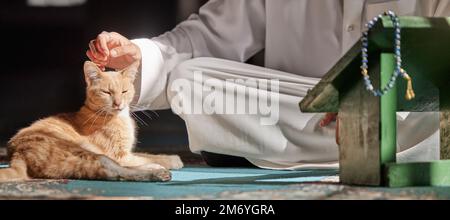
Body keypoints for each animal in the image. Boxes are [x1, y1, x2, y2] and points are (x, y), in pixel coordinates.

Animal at [0, 60, 183, 182]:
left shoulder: (125, 153)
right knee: (116, 170)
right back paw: (157, 172)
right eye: (107, 92)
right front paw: (171, 160)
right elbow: (147, 157)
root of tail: (17, 154)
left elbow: (145, 154)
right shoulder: (120, 154)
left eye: (124, 91)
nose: (118, 104)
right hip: (85, 152)